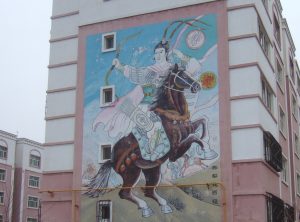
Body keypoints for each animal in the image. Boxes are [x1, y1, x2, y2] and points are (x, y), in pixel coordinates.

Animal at [85, 64, 209, 217]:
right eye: (183, 75)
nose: (197, 86)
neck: (171, 114)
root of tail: (112, 160)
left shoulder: (188, 127)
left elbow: (202, 121)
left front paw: (205, 142)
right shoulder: (174, 152)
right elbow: (193, 138)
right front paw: (205, 149)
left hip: (152, 170)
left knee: (149, 191)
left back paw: (164, 206)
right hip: (131, 173)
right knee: (125, 193)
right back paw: (145, 208)